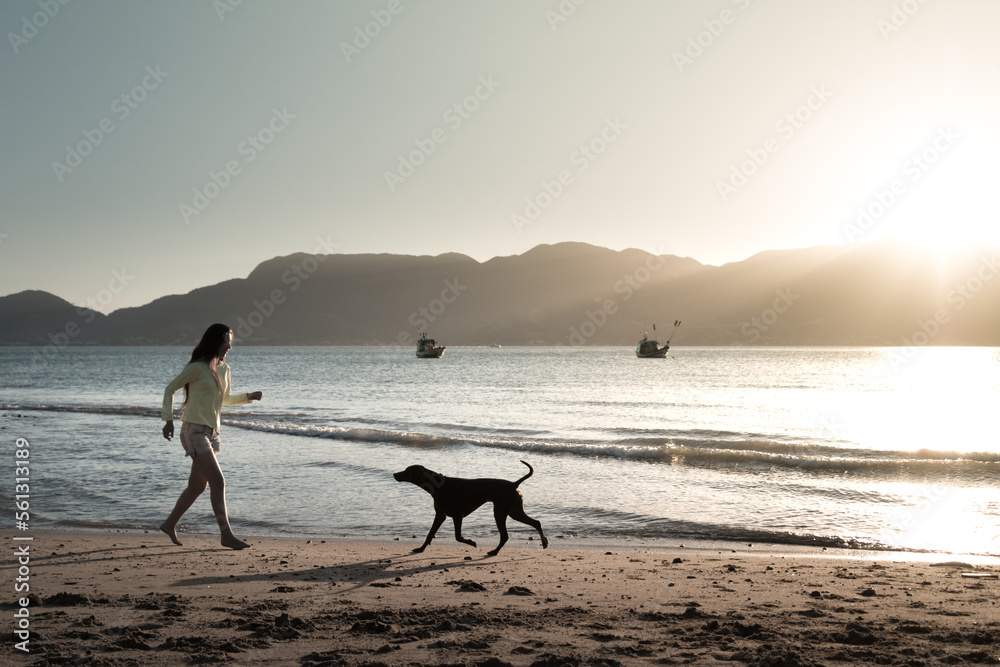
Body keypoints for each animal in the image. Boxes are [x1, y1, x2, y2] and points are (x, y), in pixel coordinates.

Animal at [392, 460, 552, 560]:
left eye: (407, 470)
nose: (394, 474)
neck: (438, 485)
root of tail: (514, 484)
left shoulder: (457, 516)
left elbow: (458, 537)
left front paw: (471, 542)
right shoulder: (440, 515)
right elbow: (430, 534)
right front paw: (420, 549)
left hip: (502, 512)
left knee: (508, 534)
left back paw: (496, 551)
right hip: (513, 511)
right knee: (535, 523)